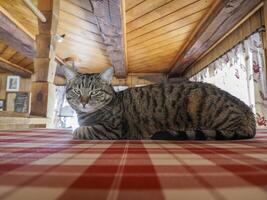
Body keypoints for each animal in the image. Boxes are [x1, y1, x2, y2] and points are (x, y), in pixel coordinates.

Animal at [63, 66, 256, 140]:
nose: (84, 102)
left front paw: (76, 130)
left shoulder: (110, 130)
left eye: (94, 92)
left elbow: (81, 131)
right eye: (77, 91)